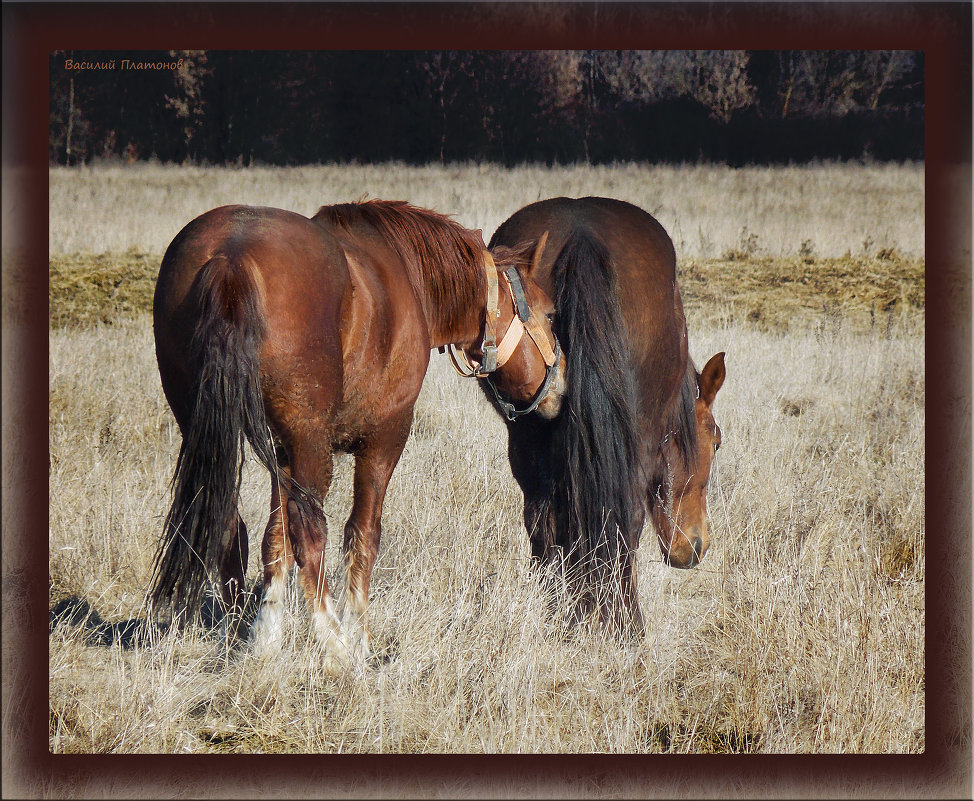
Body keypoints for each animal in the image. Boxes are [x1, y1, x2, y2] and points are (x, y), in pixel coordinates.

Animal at [151, 198, 564, 664]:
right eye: (550, 313)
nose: (560, 382)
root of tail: (231, 257)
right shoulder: (383, 440)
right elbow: (361, 535)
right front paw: (358, 638)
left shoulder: (282, 452)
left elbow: (275, 539)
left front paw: (266, 638)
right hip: (311, 442)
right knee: (311, 533)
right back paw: (334, 646)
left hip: (209, 431)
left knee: (228, 523)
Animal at [488, 195, 724, 636]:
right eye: (716, 442)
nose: (694, 548)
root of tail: (581, 234)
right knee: (623, 520)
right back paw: (627, 627)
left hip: (528, 433)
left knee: (544, 521)